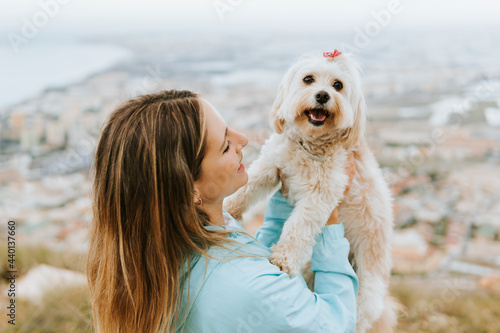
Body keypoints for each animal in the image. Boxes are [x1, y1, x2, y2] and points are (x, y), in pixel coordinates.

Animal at [225, 50, 400, 330]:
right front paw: (228, 209)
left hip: (365, 298)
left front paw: (283, 258)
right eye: (308, 79)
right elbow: (248, 185)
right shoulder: (273, 163)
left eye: (338, 85)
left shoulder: (322, 194)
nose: (323, 95)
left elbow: (298, 227)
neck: (311, 144)